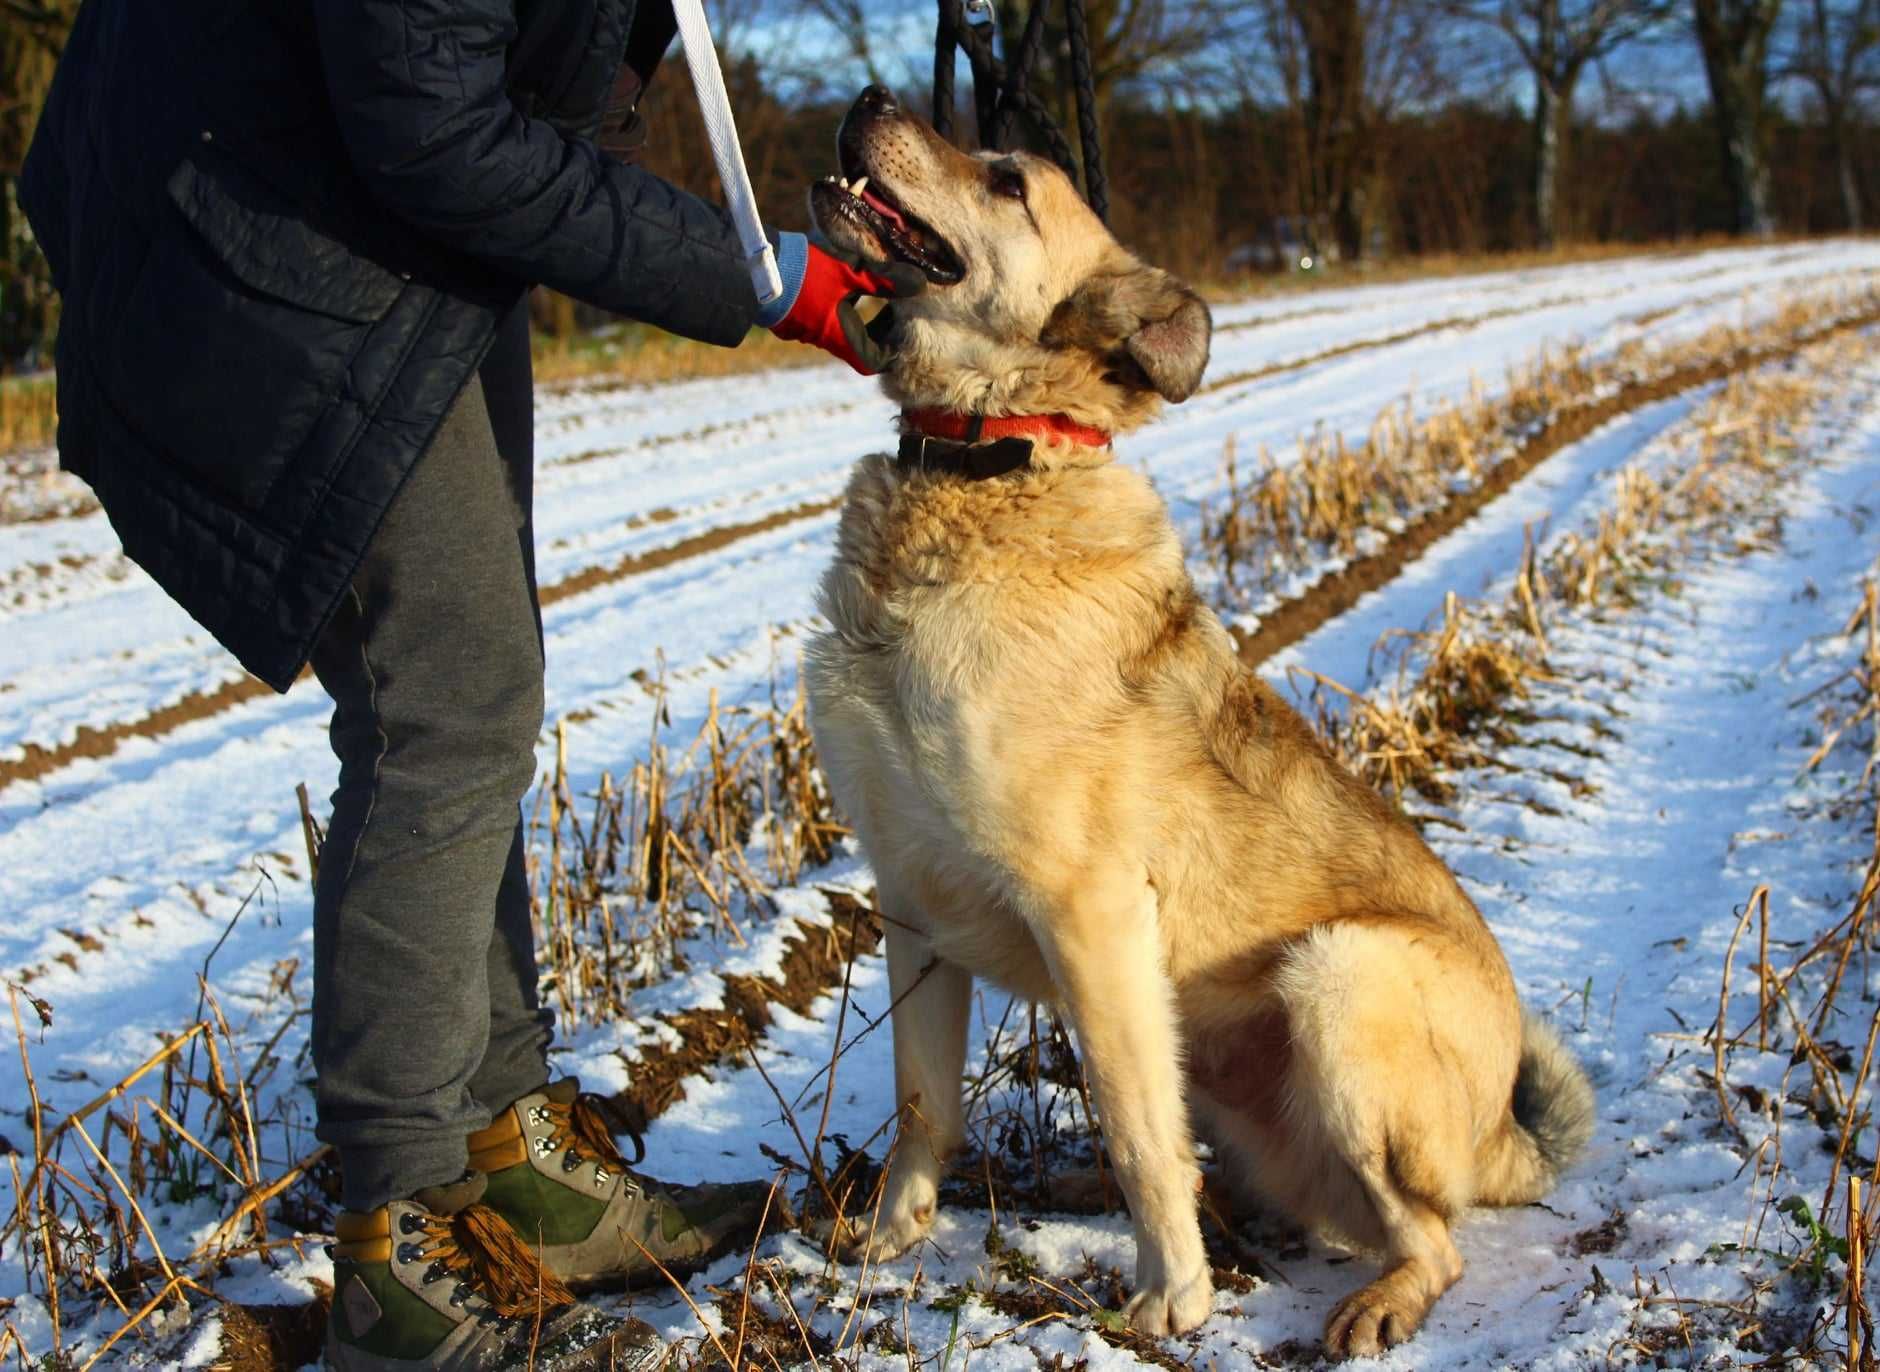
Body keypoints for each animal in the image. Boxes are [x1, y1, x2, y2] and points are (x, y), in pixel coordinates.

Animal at [800, 88, 1594, 1360]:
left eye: (1007, 178)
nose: (869, 96)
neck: (976, 475)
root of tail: (1499, 1143)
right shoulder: (911, 900)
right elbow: (922, 1100)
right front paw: (889, 1239)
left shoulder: (1089, 913)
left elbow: (1134, 1126)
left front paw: (1171, 1294)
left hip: (1336, 975)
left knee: (1431, 1236)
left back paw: (1375, 1301)